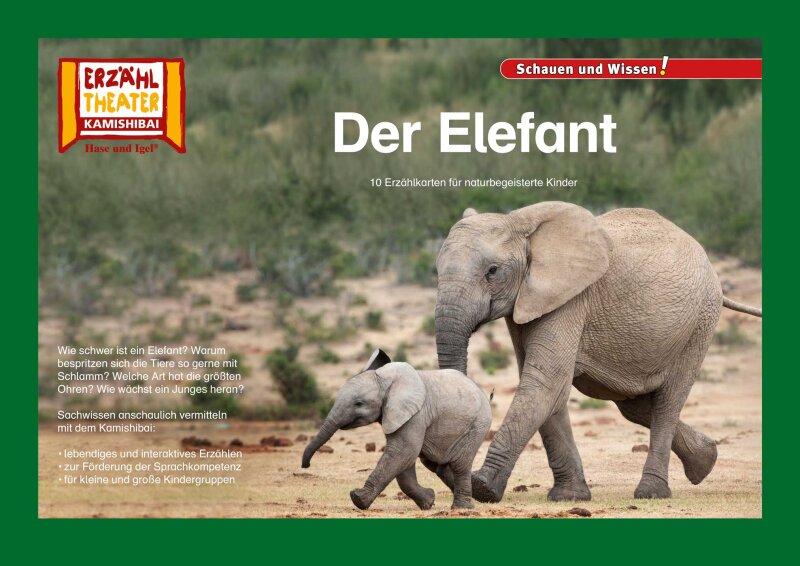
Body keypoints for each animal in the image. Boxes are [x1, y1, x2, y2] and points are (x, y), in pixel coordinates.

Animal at [302, 349, 492, 510]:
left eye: (359, 403)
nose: (306, 465)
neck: (386, 380)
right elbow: (404, 460)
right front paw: (428, 502)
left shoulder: (416, 414)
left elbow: (402, 451)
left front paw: (357, 498)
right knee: (438, 465)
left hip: (478, 424)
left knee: (459, 464)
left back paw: (462, 508)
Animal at [433, 201, 762, 502]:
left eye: (492, 271)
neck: (519, 222)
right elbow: (547, 387)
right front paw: (570, 497)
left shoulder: (571, 298)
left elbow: (545, 382)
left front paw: (483, 488)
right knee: (635, 405)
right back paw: (706, 460)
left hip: (699, 324)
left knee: (668, 401)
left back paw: (651, 493)